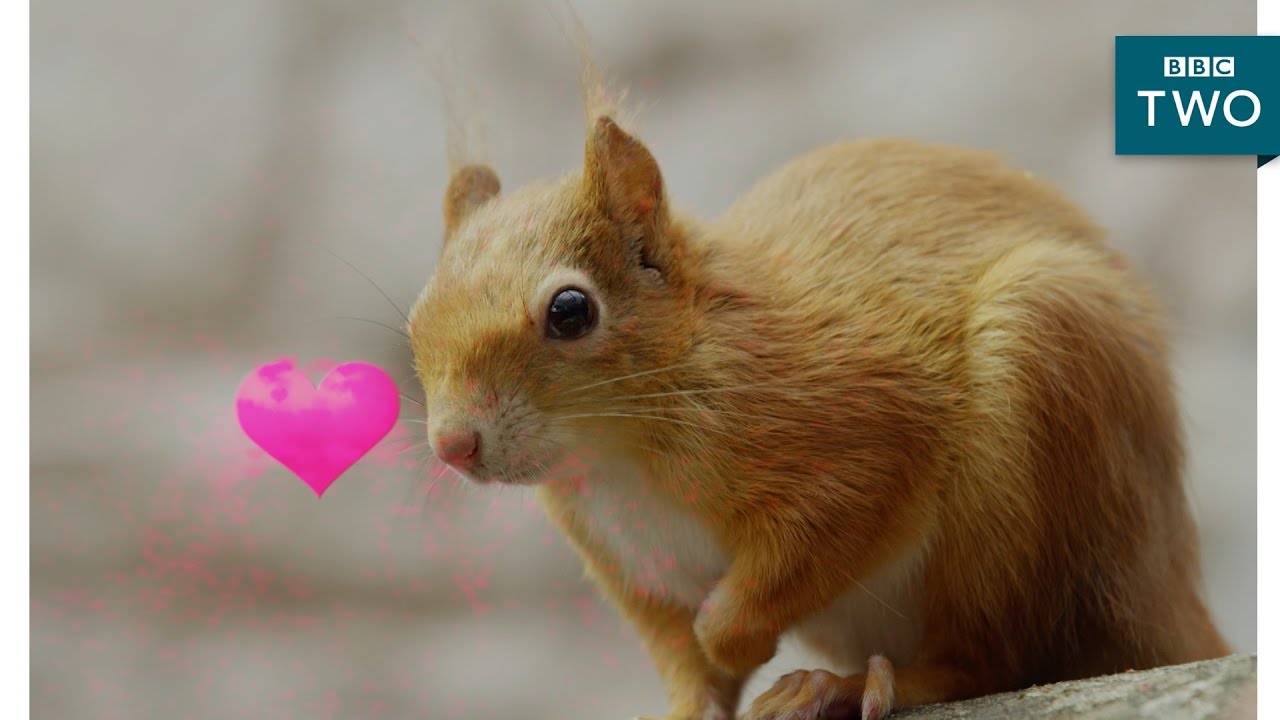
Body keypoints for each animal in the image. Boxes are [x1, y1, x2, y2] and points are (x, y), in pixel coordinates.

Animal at [406, 42, 1231, 720]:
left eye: (571, 311)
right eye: (417, 320)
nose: (454, 445)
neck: (617, 459)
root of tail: (1171, 590)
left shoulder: (852, 434)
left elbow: (796, 557)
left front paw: (737, 639)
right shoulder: (636, 568)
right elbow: (685, 665)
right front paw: (686, 699)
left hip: (1027, 452)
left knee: (985, 656)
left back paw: (847, 685)